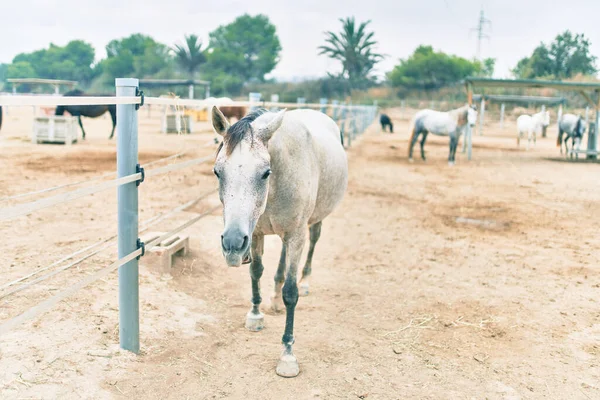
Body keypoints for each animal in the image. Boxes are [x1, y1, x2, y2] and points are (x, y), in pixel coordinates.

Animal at [213, 105, 350, 378]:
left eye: (265, 173)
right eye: (217, 172)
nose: (232, 244)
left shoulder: (297, 234)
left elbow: (291, 292)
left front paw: (287, 355)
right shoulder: (255, 234)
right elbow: (256, 272)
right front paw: (255, 315)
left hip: (312, 224)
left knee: (312, 244)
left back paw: (305, 281)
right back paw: (274, 297)